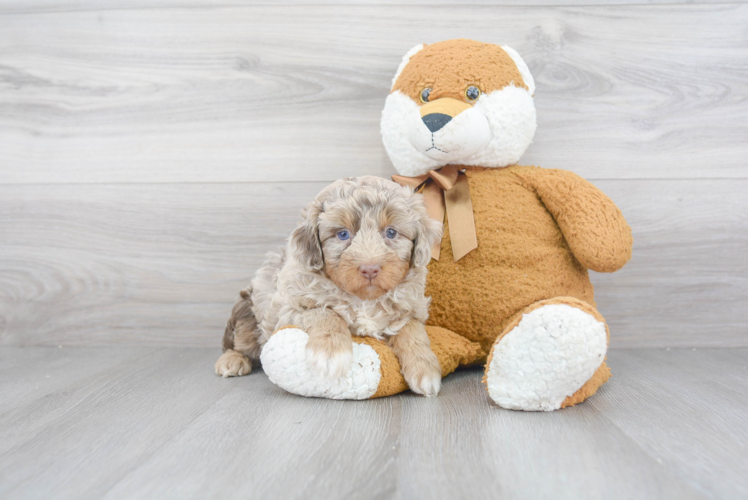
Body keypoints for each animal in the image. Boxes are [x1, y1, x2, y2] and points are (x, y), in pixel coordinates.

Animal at [213, 178, 444, 396]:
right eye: (342, 234)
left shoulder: (410, 307)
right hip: (249, 311)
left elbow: (413, 330)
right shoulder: (287, 309)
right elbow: (325, 313)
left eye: (391, 233)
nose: (370, 269)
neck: (363, 300)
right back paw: (232, 360)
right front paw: (330, 352)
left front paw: (425, 370)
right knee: (240, 341)